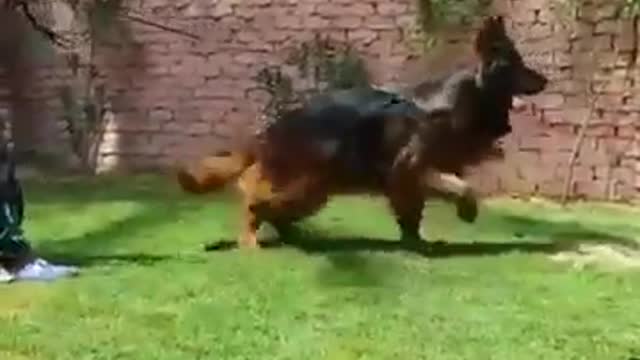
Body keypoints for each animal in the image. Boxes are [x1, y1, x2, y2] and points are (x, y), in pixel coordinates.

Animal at [178, 16, 548, 248]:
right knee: (252, 200)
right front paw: (465, 212)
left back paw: (296, 238)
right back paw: (251, 240)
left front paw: (417, 242)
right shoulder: (409, 170)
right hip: (299, 185)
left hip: (313, 192)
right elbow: (464, 188)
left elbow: (414, 215)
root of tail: (268, 131)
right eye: (517, 66)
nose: (546, 81)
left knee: (274, 212)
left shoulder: (408, 182)